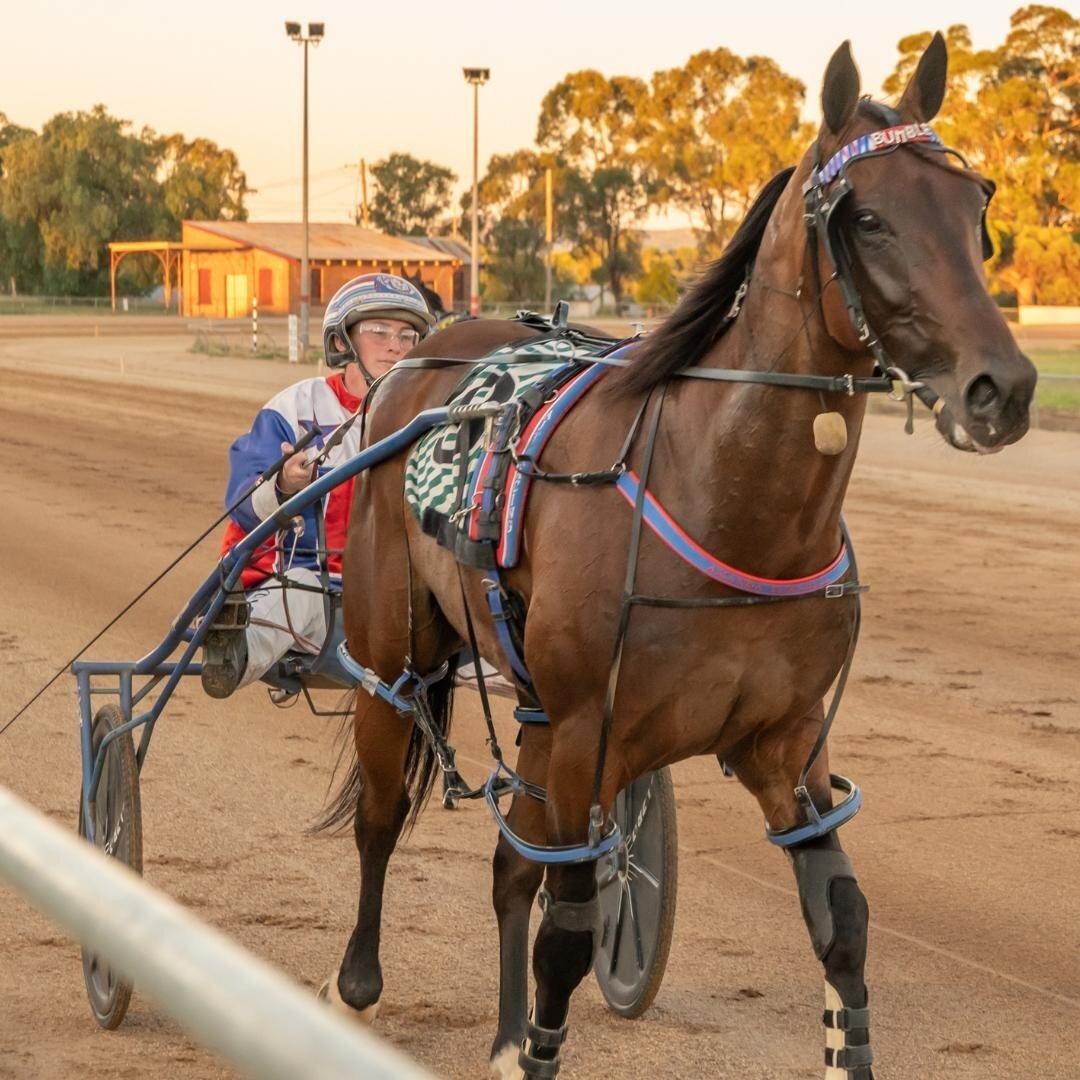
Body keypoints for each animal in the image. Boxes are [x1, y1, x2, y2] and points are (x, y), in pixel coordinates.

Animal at [317, 33, 1028, 1080]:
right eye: (865, 217)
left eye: (976, 205)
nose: (1003, 388)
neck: (724, 497)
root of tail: (423, 357)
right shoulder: (589, 735)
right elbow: (568, 941)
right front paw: (536, 1037)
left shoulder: (784, 743)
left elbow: (844, 921)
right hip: (396, 650)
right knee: (379, 811)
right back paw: (357, 981)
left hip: (534, 711)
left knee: (509, 866)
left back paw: (500, 1031)